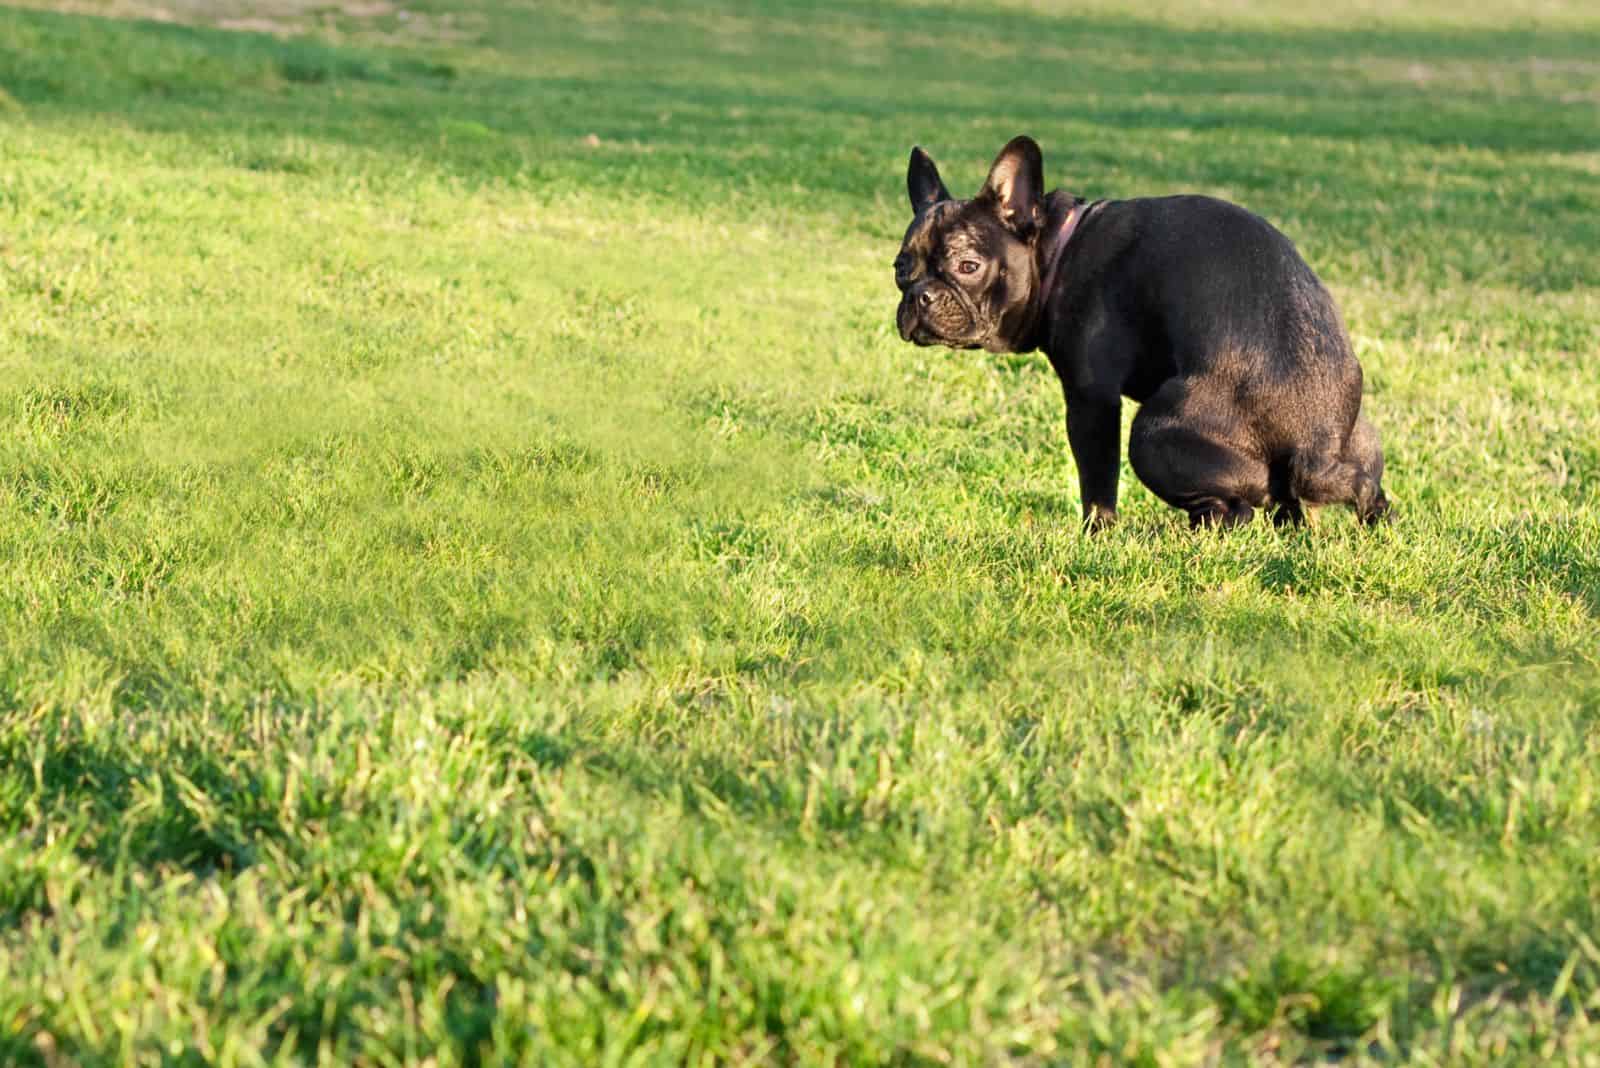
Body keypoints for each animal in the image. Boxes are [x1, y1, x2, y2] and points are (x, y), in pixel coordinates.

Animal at [902, 135, 1388, 530]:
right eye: (901, 267)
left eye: (968, 266)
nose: (920, 296)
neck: (1058, 247)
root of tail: (1317, 448)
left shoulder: (1091, 399)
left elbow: (1097, 480)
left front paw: (1096, 533)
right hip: (1362, 441)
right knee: (1359, 491)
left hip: (1153, 435)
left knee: (1237, 510)